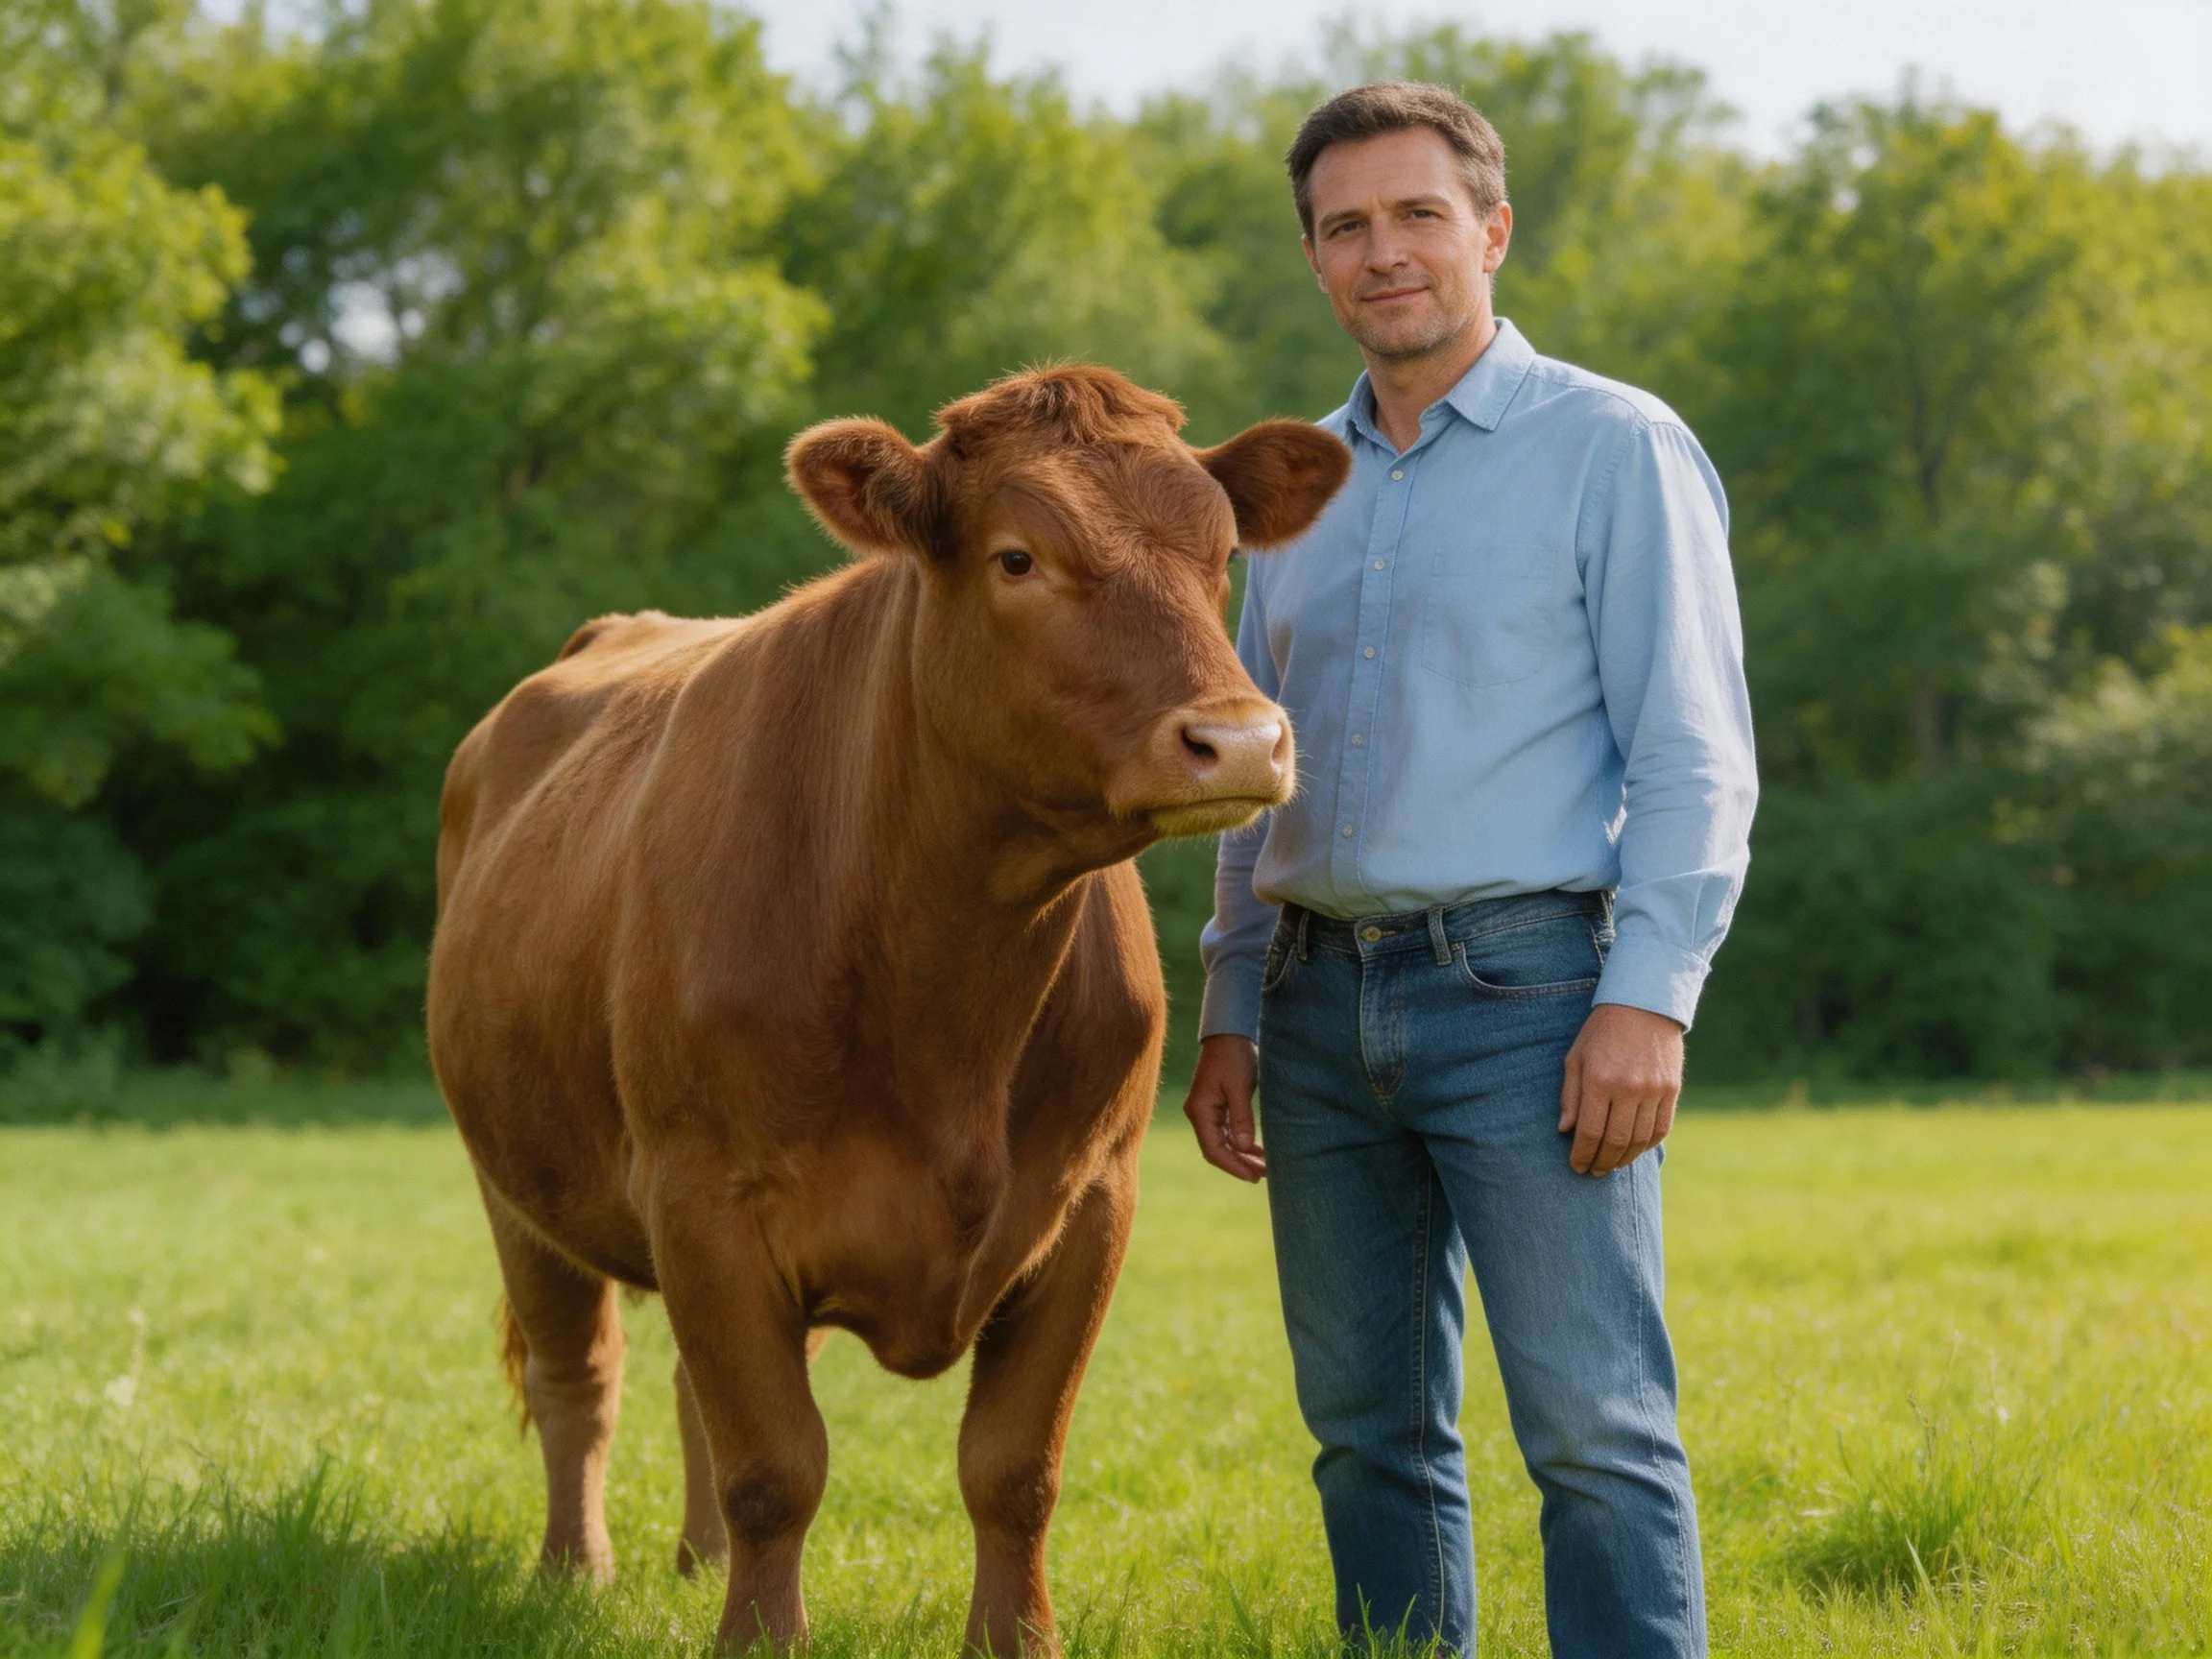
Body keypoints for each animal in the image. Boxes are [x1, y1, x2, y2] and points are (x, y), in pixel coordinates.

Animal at [425, 364, 1350, 1654]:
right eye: (1018, 558)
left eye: (1222, 557)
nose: (1241, 740)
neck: (946, 988)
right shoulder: (704, 1196)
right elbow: (777, 1464)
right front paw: (761, 1640)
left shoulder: (1093, 1199)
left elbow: (1013, 1467)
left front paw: (1016, 1639)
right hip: (517, 1186)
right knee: (582, 1381)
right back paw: (576, 1572)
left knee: (686, 1389)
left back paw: (696, 1563)